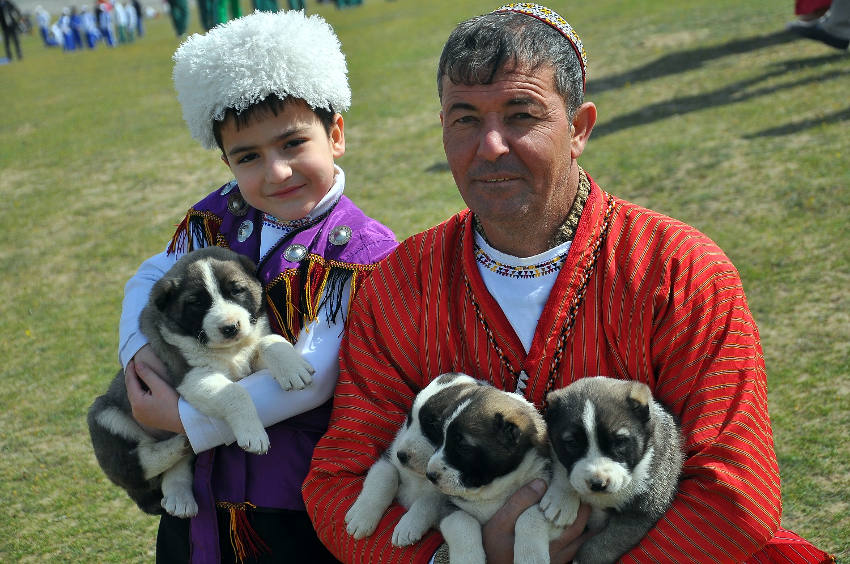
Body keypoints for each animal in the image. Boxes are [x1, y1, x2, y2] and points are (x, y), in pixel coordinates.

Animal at [86, 249, 314, 516]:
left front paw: (293, 368)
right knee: (134, 464)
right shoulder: (191, 377)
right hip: (103, 415)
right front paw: (254, 434)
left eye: (237, 290)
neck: (229, 351)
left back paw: (179, 492)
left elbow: (269, 342)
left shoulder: (250, 360)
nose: (230, 327)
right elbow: (235, 393)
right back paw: (177, 446)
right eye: (196, 302)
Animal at [540, 374, 684, 564]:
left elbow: (605, 544)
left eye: (620, 441)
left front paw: (585, 559)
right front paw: (561, 498)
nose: (597, 483)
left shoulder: (639, 513)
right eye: (571, 443)